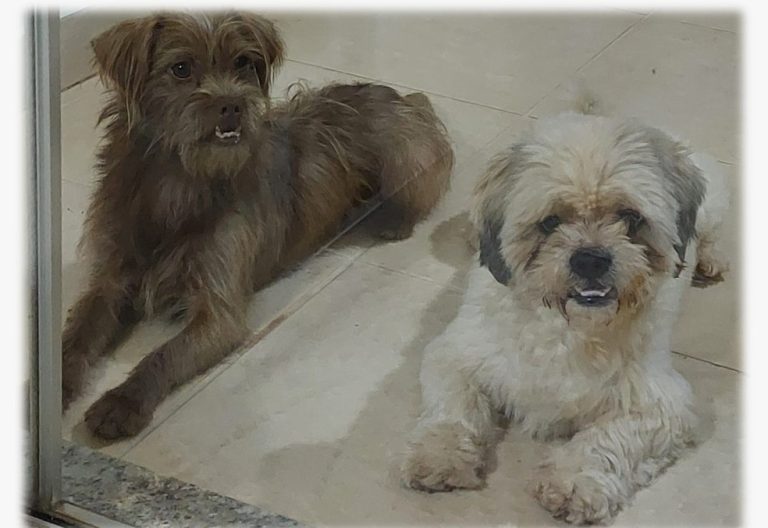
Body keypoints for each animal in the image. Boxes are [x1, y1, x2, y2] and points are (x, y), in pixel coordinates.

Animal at [62, 12, 453, 440]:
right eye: (181, 68)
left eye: (243, 62)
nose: (233, 104)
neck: (178, 183)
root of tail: (402, 97)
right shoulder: (111, 280)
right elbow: (78, 332)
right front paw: (56, 381)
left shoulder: (218, 312)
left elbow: (163, 354)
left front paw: (123, 401)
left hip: (406, 156)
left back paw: (392, 220)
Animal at [401, 108, 728, 524]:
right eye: (550, 221)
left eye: (630, 217)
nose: (590, 258)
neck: (565, 329)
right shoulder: (455, 354)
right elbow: (453, 408)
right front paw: (439, 454)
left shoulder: (660, 404)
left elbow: (604, 441)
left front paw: (575, 482)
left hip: (713, 205)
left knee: (712, 233)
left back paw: (710, 259)